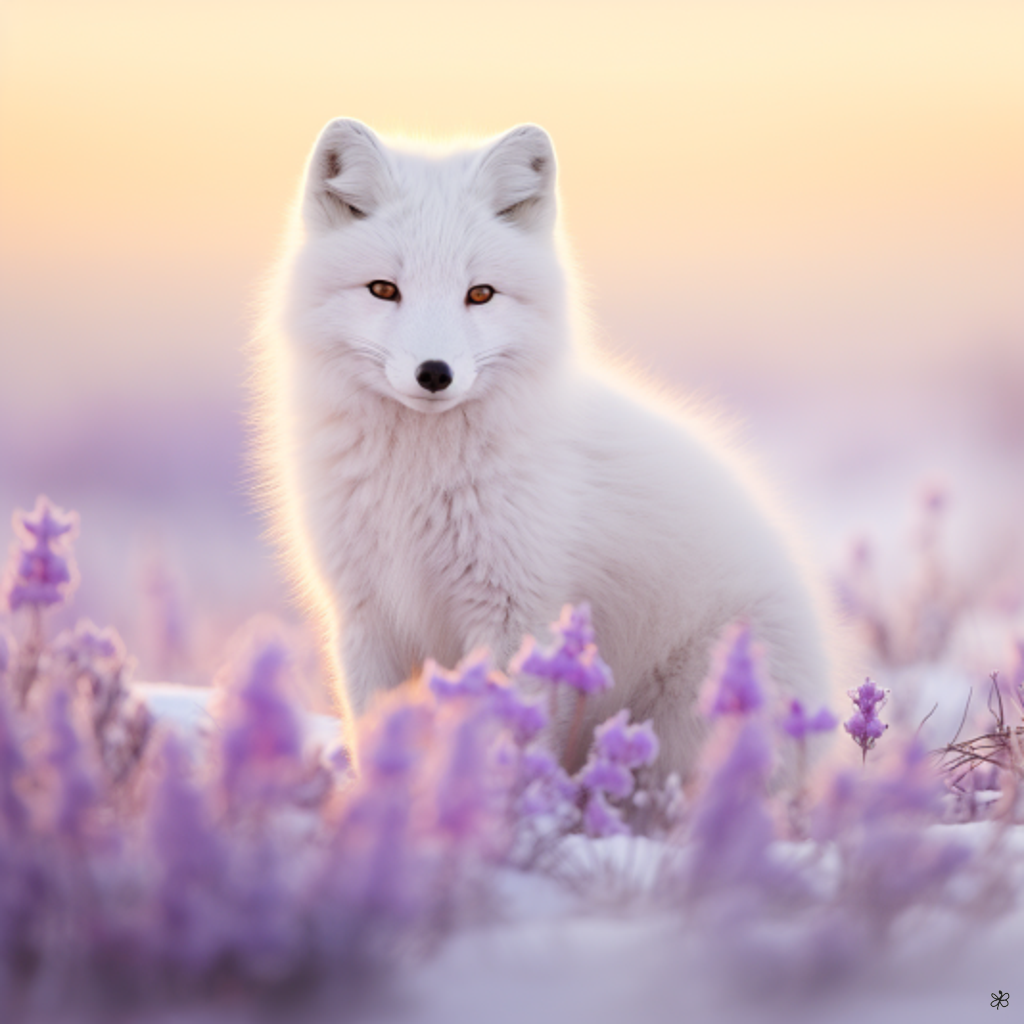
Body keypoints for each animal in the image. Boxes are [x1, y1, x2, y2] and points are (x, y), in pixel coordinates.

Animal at [252, 118, 833, 780]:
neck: (415, 483)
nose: (435, 373)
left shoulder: (516, 616)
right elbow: (376, 738)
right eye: (383, 289)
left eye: (480, 294)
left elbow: (506, 739)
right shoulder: (365, 614)